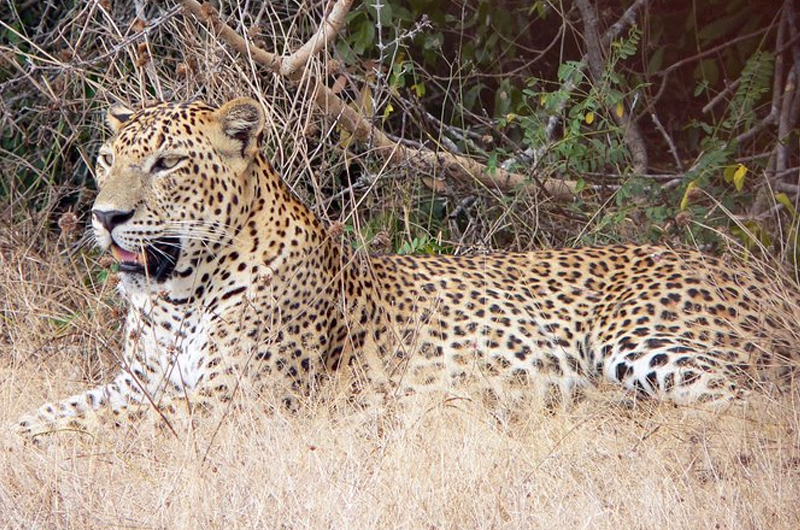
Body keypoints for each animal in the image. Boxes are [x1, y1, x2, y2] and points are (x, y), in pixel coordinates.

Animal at [13, 97, 800, 441]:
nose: (104, 216)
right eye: (107, 158)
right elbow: (56, 410)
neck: (176, 293)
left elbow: (87, 428)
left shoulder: (235, 402)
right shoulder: (139, 383)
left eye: (167, 163)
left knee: (747, 406)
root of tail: (770, 279)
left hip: (637, 338)